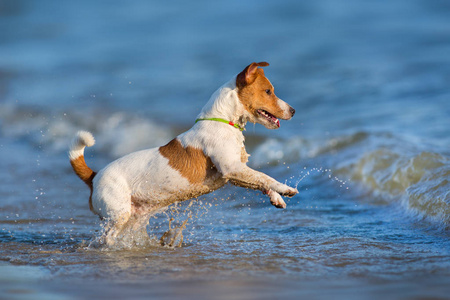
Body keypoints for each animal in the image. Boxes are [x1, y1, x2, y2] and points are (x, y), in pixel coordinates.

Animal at [68, 62, 298, 245]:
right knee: (107, 237)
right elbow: (265, 177)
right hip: (118, 214)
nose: (294, 111)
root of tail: (94, 176)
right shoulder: (231, 168)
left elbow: (259, 181)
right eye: (268, 91)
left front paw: (277, 198)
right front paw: (285, 188)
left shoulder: (236, 173)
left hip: (135, 217)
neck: (223, 121)